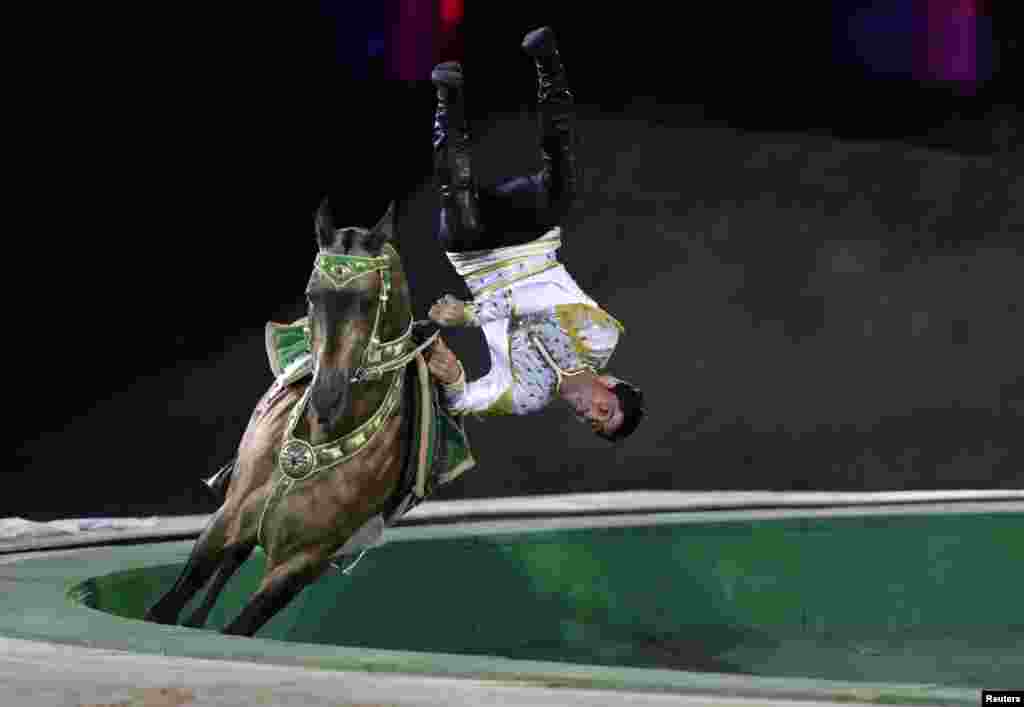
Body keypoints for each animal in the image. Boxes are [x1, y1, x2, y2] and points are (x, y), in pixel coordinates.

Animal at [142, 198, 430, 635]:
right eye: (312, 295)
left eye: (368, 300)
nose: (326, 396)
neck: (321, 437)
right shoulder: (225, 519)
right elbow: (164, 609)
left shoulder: (300, 565)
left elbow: (238, 628)